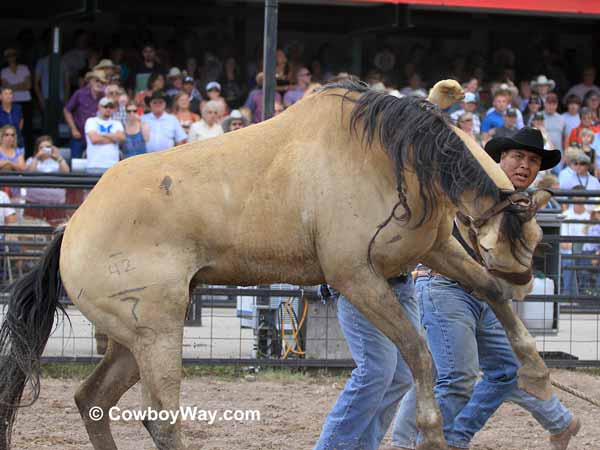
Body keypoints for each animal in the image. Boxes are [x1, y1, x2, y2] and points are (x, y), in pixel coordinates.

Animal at [0, 79, 552, 448]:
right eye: (507, 245)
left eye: (536, 239)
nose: (526, 279)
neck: (389, 157)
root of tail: (72, 228)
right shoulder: (355, 276)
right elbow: (419, 352)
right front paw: (433, 434)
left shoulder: (435, 249)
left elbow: (489, 293)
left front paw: (537, 372)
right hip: (156, 333)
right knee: (160, 418)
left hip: (133, 338)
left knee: (92, 400)